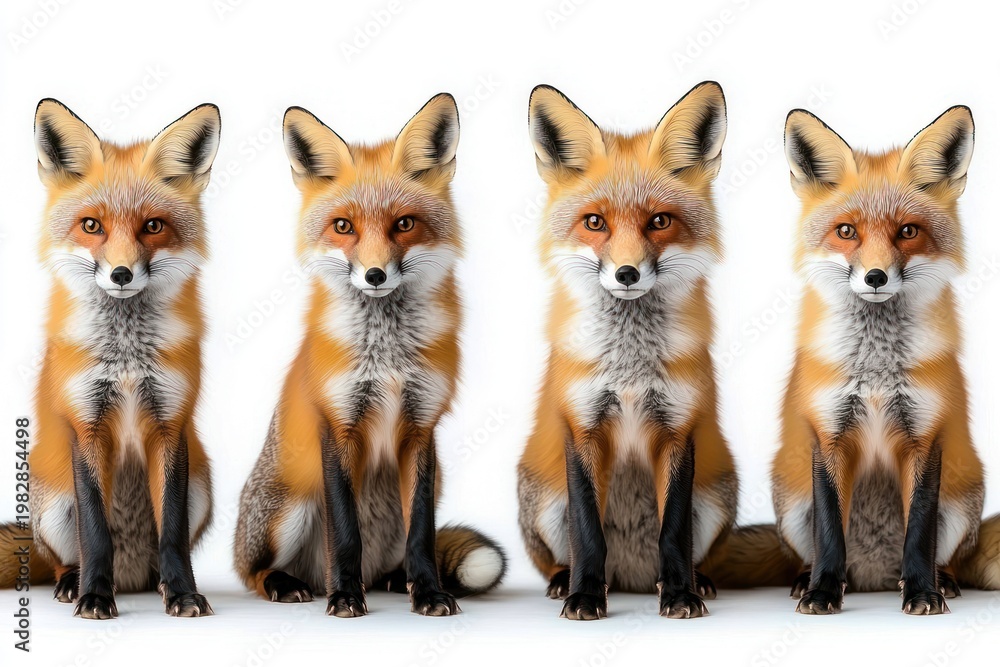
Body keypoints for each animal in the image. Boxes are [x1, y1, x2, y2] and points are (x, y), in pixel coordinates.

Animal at [0, 100, 221, 618]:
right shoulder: (87, 425)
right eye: (91, 225)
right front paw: (95, 597)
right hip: (51, 505)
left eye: (153, 226)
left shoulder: (170, 423)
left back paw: (158, 584)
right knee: (64, 558)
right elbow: (95, 532)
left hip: (202, 487)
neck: (126, 360)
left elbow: (172, 532)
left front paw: (182, 592)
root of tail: (132, 575)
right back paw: (73, 583)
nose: (121, 274)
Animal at [232, 94, 506, 617]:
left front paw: (430, 593)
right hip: (291, 507)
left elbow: (422, 534)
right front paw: (344, 596)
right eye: (344, 227)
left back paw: (399, 581)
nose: (375, 275)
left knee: (391, 561)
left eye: (404, 224)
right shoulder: (338, 423)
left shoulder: (422, 427)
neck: (388, 356)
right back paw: (292, 584)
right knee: (252, 572)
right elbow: (344, 533)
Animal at [516, 82, 739, 620]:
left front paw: (680, 594)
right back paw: (565, 581)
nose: (627, 274)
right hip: (543, 501)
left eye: (659, 221)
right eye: (594, 222)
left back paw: (692, 582)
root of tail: (632, 578)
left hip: (717, 499)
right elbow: (588, 533)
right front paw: (583, 596)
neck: (630, 368)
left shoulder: (678, 428)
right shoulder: (583, 427)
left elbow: (672, 533)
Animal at [764, 105, 1000, 614]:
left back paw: (942, 580)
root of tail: (874, 575)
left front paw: (924, 592)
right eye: (846, 231)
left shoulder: (925, 436)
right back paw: (809, 579)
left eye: (908, 231)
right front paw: (822, 591)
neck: (874, 371)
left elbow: (919, 533)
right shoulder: (829, 434)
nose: (875, 277)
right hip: (790, 502)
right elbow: (831, 532)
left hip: (963, 497)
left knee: (939, 551)